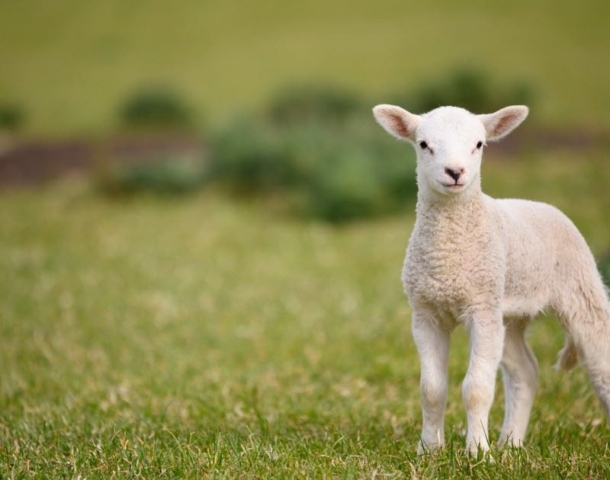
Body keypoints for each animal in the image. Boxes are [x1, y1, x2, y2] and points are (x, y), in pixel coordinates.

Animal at [370, 103, 608, 456]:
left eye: (479, 144)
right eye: (424, 144)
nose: (455, 172)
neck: (450, 253)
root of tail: (535, 203)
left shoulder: (481, 309)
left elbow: (477, 388)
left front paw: (477, 453)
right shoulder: (427, 313)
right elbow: (431, 389)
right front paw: (430, 450)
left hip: (579, 287)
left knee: (601, 362)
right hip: (506, 314)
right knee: (526, 372)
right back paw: (511, 443)